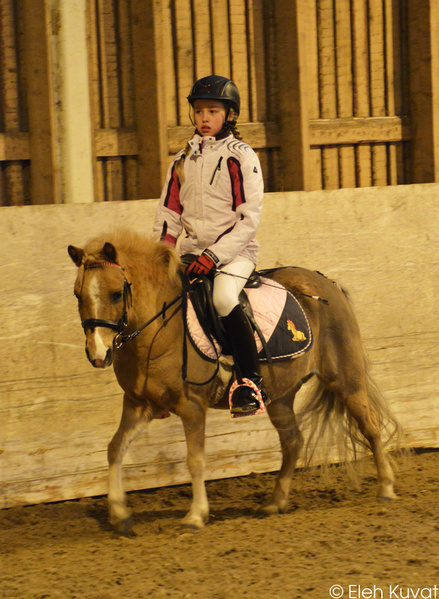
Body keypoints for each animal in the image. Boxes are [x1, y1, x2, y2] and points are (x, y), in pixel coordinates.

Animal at [68, 229, 400, 536]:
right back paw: (275, 502)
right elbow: (115, 448)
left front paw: (196, 515)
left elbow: (195, 460)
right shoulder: (139, 405)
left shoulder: (192, 407)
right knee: (293, 441)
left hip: (346, 380)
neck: (159, 328)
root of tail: (327, 283)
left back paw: (385, 488)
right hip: (280, 396)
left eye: (116, 293)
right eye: (78, 295)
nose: (98, 354)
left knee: (370, 425)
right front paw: (119, 514)